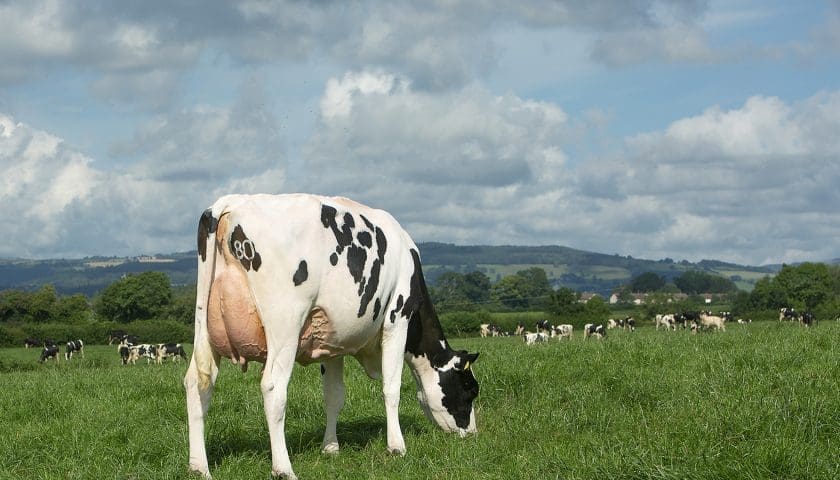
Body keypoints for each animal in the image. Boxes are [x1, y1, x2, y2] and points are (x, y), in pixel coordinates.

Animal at [184, 194, 480, 480]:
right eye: (470, 390)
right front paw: (396, 446)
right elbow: (392, 387)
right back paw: (283, 468)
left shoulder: (331, 342)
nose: (472, 433)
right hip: (285, 324)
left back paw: (199, 467)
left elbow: (334, 396)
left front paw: (330, 447)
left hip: (203, 325)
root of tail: (231, 202)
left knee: (198, 382)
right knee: (273, 387)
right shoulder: (397, 319)